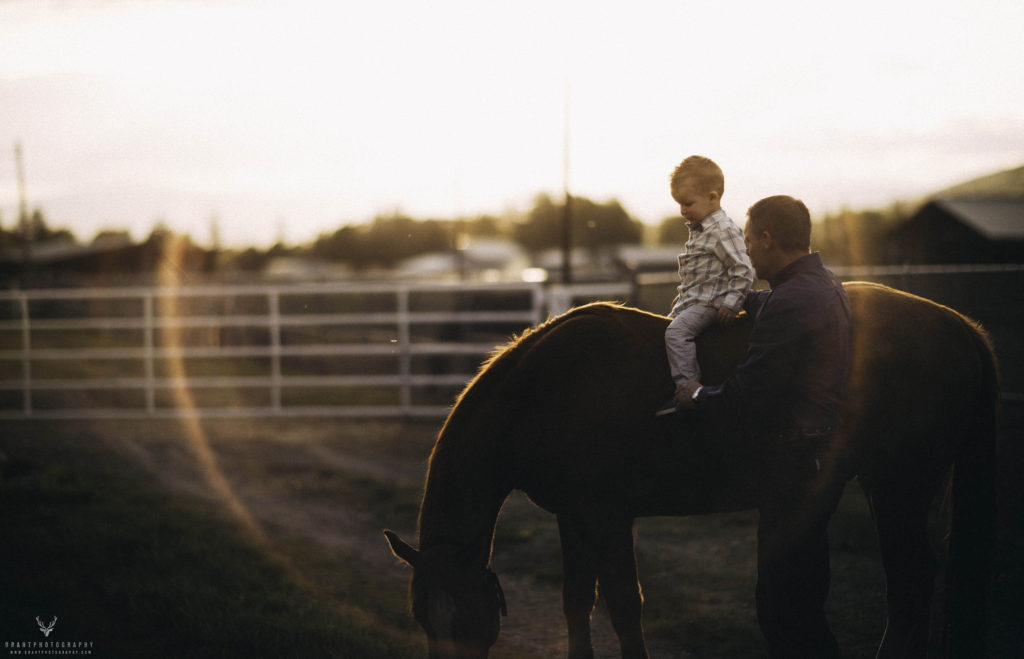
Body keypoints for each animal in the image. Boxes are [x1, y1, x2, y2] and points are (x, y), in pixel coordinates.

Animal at [385, 282, 991, 659]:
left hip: (898, 486)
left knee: (910, 583)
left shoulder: (608, 516)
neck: (545, 390)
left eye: (465, 618)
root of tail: (959, 327)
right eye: (422, 618)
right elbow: (578, 602)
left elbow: (624, 605)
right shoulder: (575, 518)